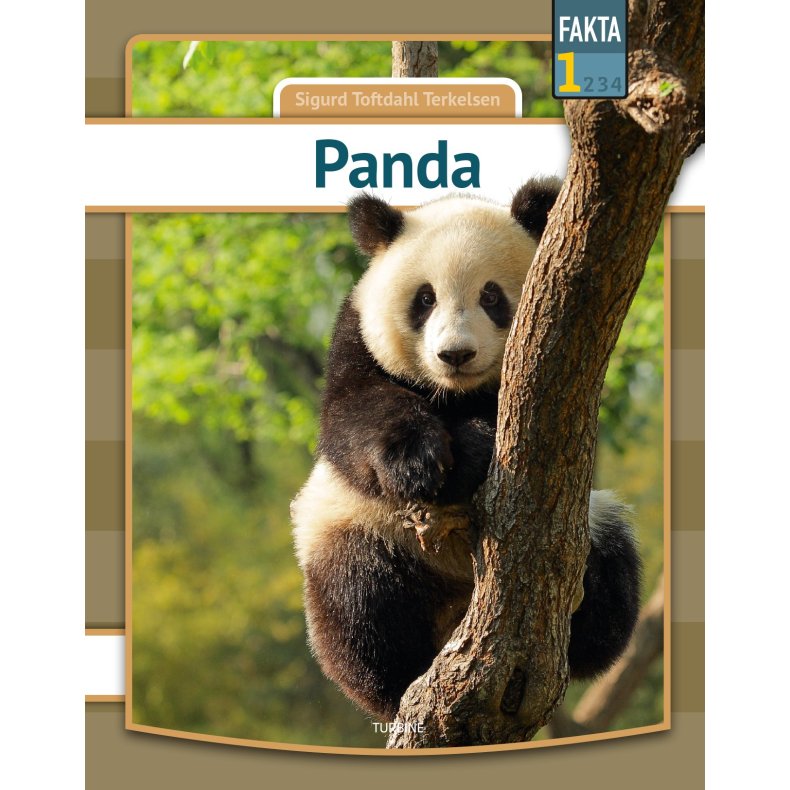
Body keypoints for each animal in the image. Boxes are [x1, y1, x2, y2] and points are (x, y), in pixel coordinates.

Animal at [290, 178, 642, 721]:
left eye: (491, 295)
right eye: (425, 298)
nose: (455, 354)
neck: (455, 393)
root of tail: (457, 608)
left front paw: (472, 450)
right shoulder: (356, 338)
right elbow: (353, 417)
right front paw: (421, 462)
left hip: (588, 521)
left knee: (610, 576)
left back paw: (585, 622)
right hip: (358, 528)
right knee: (357, 600)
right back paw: (394, 681)